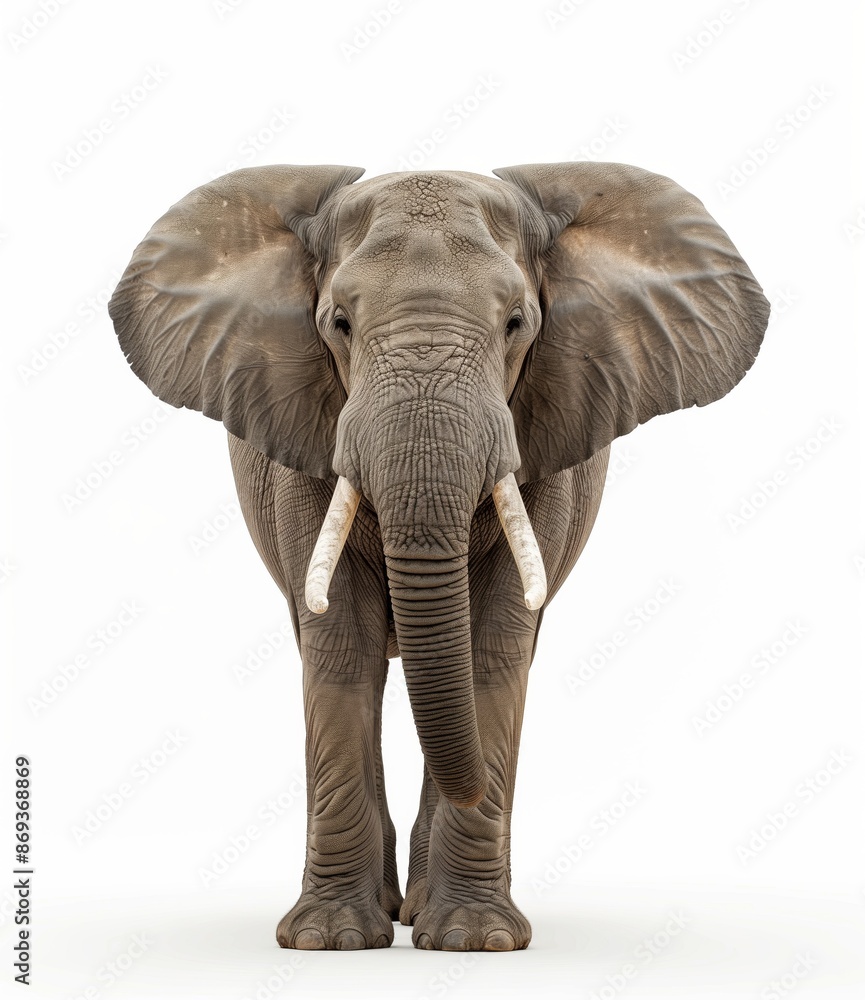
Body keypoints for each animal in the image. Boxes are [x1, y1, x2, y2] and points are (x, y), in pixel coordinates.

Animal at [109, 161, 769, 952]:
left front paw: (472, 940)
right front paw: (329, 940)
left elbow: (494, 648)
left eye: (517, 323)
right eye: (338, 323)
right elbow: (341, 645)